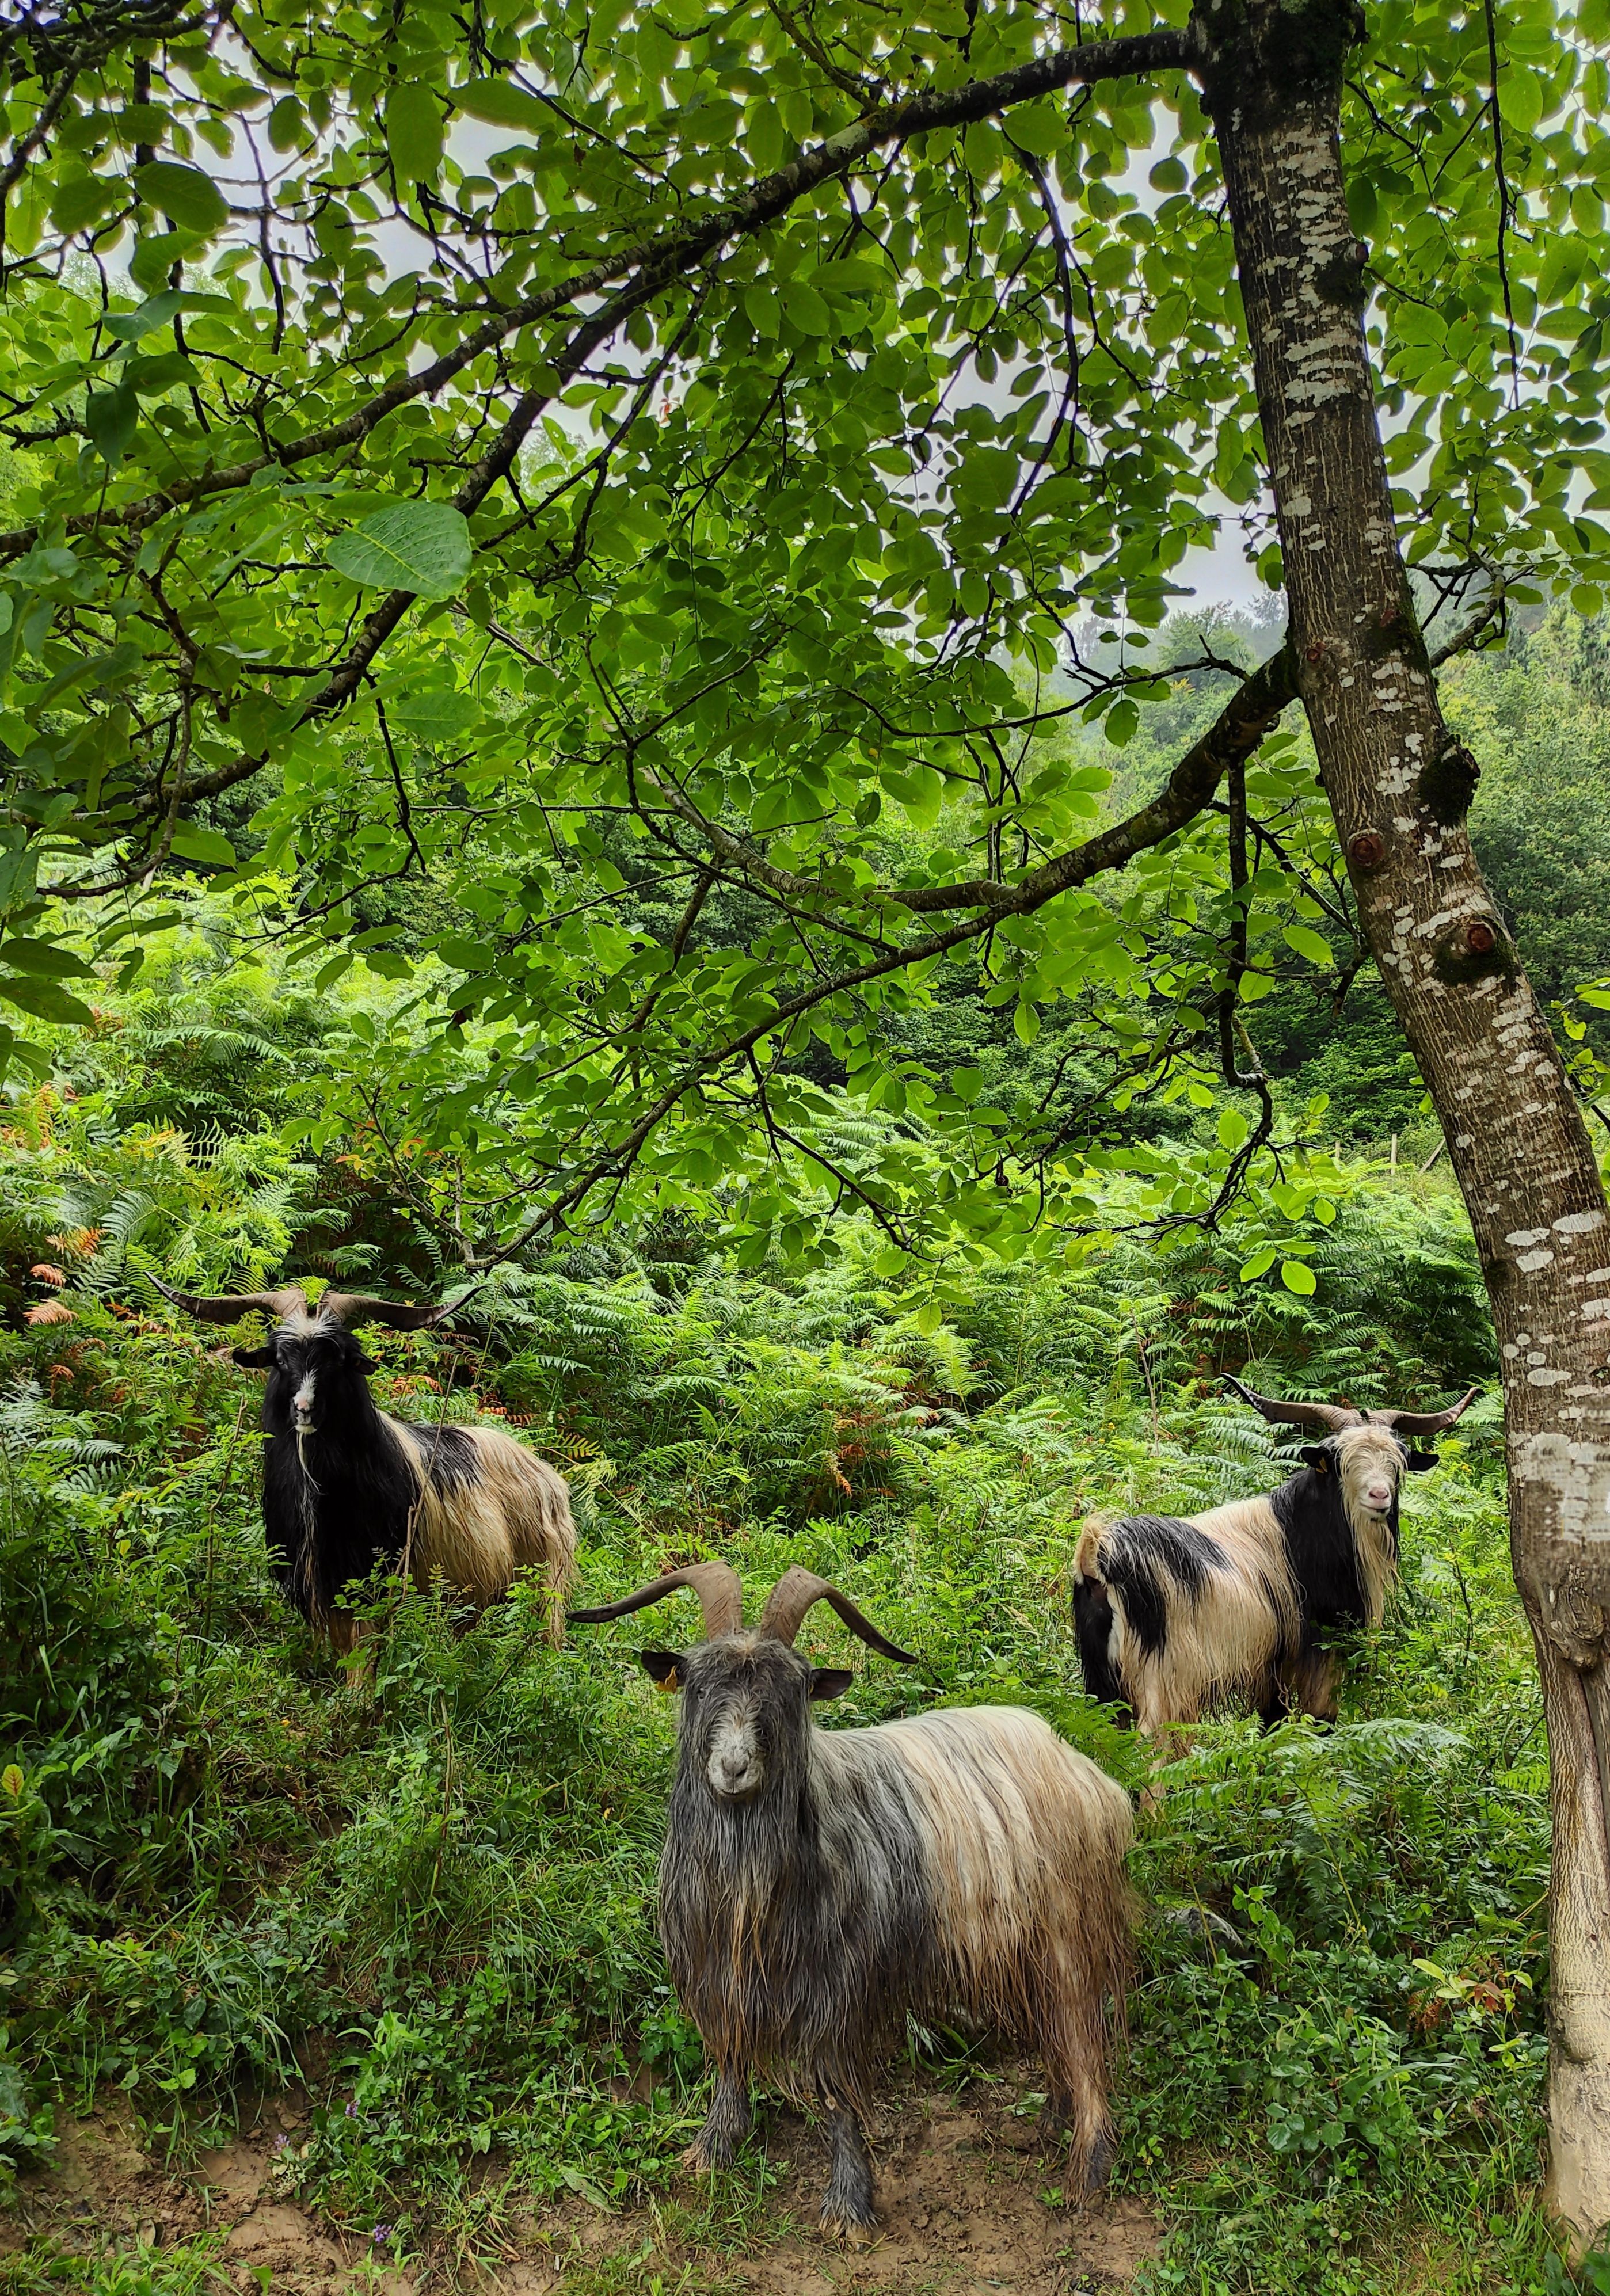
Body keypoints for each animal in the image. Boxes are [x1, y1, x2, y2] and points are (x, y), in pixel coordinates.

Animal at [153, 1278, 575, 1651]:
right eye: (280, 1359)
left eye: (338, 1359)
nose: (304, 1408)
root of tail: (547, 1474)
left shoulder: (372, 1579)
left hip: (541, 1582)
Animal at [571, 1562, 1134, 2236]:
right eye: (699, 1687)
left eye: (791, 1692)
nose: (733, 1767)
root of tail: (1084, 1768)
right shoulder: (719, 1970)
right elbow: (729, 2055)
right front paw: (712, 2150)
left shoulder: (837, 1984)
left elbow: (837, 2089)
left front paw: (848, 2201)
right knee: (1054, 2028)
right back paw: (1052, 2119)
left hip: (1070, 1928)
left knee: (1083, 2035)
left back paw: (1089, 2169)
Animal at [1074, 1378, 1478, 1738]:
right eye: (1340, 1462)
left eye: (1399, 1462)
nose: (1379, 1496)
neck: (1298, 1530)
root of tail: (1099, 1561)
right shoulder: (1318, 1653)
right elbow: (1321, 1722)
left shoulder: (1269, 1668)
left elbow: (1272, 1724)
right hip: (1166, 1685)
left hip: (1104, 1687)